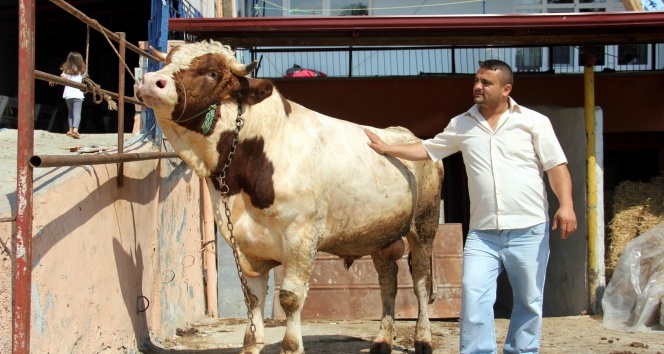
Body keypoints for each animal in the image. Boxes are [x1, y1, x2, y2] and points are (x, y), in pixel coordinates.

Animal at [134, 40, 444, 352]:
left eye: (212, 72)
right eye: (168, 61)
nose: (150, 81)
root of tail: (407, 135)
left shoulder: (300, 237)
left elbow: (290, 297)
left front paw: (291, 345)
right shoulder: (246, 244)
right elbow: (253, 297)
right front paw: (251, 344)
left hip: (424, 225)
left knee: (420, 281)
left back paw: (423, 338)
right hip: (380, 234)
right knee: (387, 280)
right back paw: (382, 339)